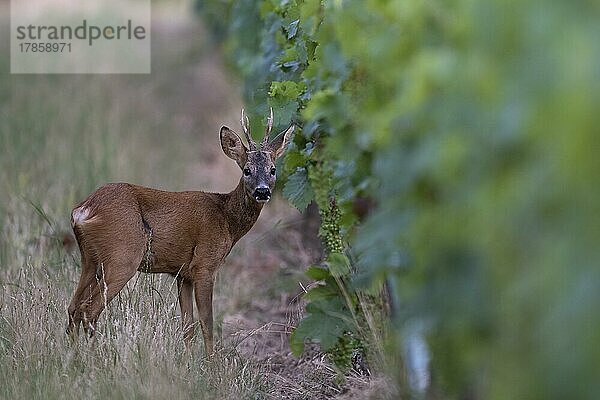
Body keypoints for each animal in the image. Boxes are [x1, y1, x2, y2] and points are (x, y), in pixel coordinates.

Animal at [67, 108, 294, 354]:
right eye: (247, 170)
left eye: (273, 170)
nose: (262, 191)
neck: (226, 219)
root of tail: (84, 210)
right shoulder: (204, 265)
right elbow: (207, 322)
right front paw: (211, 362)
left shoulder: (182, 273)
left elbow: (188, 326)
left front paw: (188, 360)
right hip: (123, 256)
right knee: (89, 310)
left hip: (90, 259)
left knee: (73, 307)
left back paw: (73, 354)